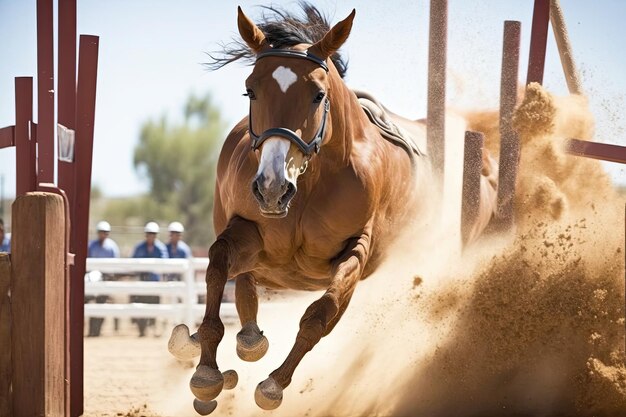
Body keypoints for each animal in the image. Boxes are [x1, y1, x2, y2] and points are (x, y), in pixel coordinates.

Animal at [167, 3, 498, 412]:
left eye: (317, 95)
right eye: (251, 90)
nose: (272, 188)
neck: (311, 182)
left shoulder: (355, 252)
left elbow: (320, 315)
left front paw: (273, 385)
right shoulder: (248, 232)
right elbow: (216, 269)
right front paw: (206, 374)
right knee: (243, 286)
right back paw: (230, 343)